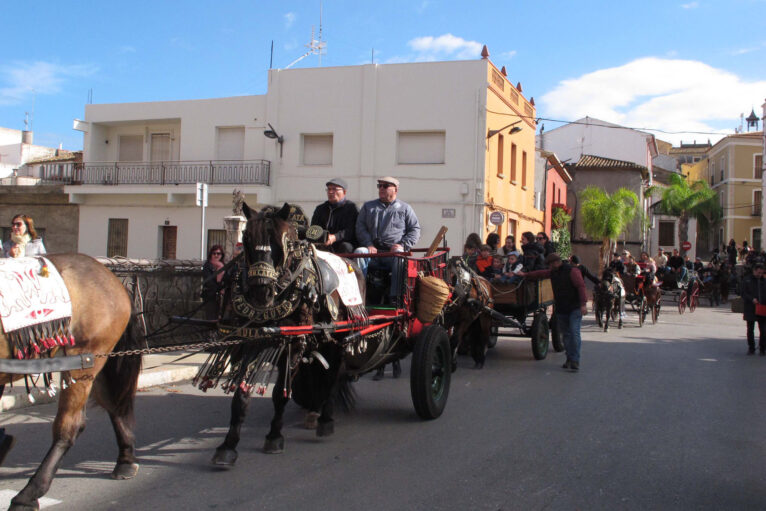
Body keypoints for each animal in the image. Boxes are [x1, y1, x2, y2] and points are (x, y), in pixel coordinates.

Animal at [0, 256, 142, 511]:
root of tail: (114, 280)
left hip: (83, 360)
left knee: (70, 426)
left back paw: (29, 493)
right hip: (92, 363)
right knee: (112, 405)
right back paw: (126, 460)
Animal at [208, 203, 368, 464]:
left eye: (283, 241)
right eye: (246, 238)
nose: (261, 291)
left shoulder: (292, 342)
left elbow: (279, 394)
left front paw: (274, 436)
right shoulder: (251, 340)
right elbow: (241, 392)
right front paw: (227, 446)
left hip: (340, 337)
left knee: (334, 375)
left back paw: (325, 420)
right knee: (319, 373)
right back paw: (313, 411)